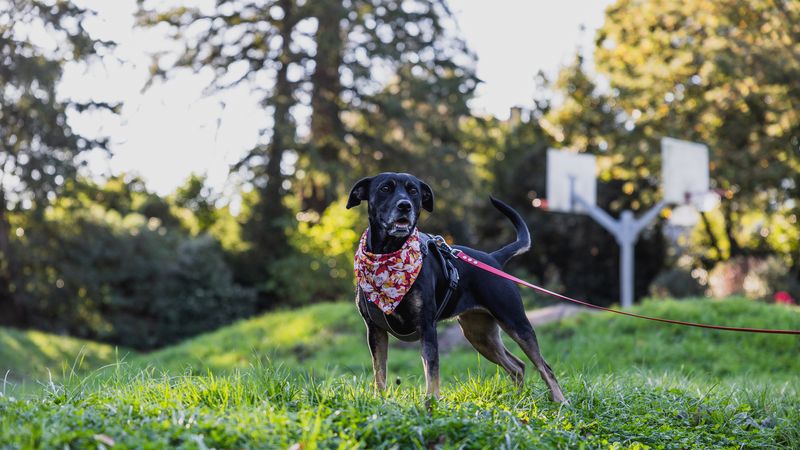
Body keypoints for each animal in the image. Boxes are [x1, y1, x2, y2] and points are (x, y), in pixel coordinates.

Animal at [346, 171, 564, 400]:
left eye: (413, 190)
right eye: (385, 188)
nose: (404, 205)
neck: (388, 254)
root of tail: (493, 259)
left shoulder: (427, 327)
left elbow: (431, 371)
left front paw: (432, 402)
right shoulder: (375, 329)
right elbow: (379, 372)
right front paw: (380, 401)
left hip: (515, 322)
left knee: (544, 367)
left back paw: (560, 401)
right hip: (480, 334)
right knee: (518, 366)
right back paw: (516, 399)